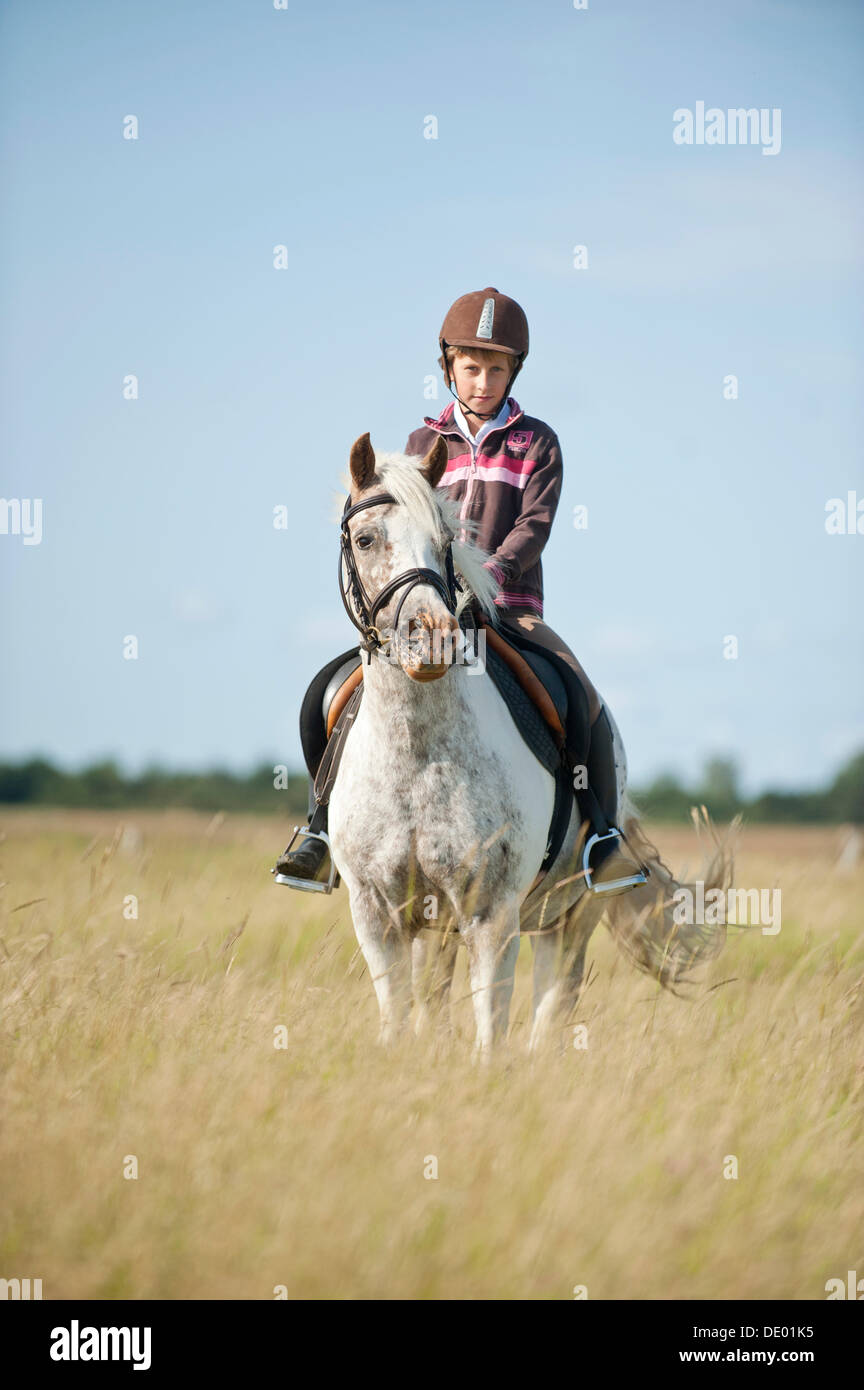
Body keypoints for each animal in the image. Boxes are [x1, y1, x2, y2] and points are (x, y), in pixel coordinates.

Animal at [327, 433, 733, 1050]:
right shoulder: (377, 913)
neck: (417, 753)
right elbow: (397, 1019)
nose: (434, 639)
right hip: (438, 926)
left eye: (445, 541)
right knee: (434, 996)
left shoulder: (492, 915)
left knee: (553, 1000)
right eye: (367, 538)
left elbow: (491, 1031)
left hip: (569, 914)